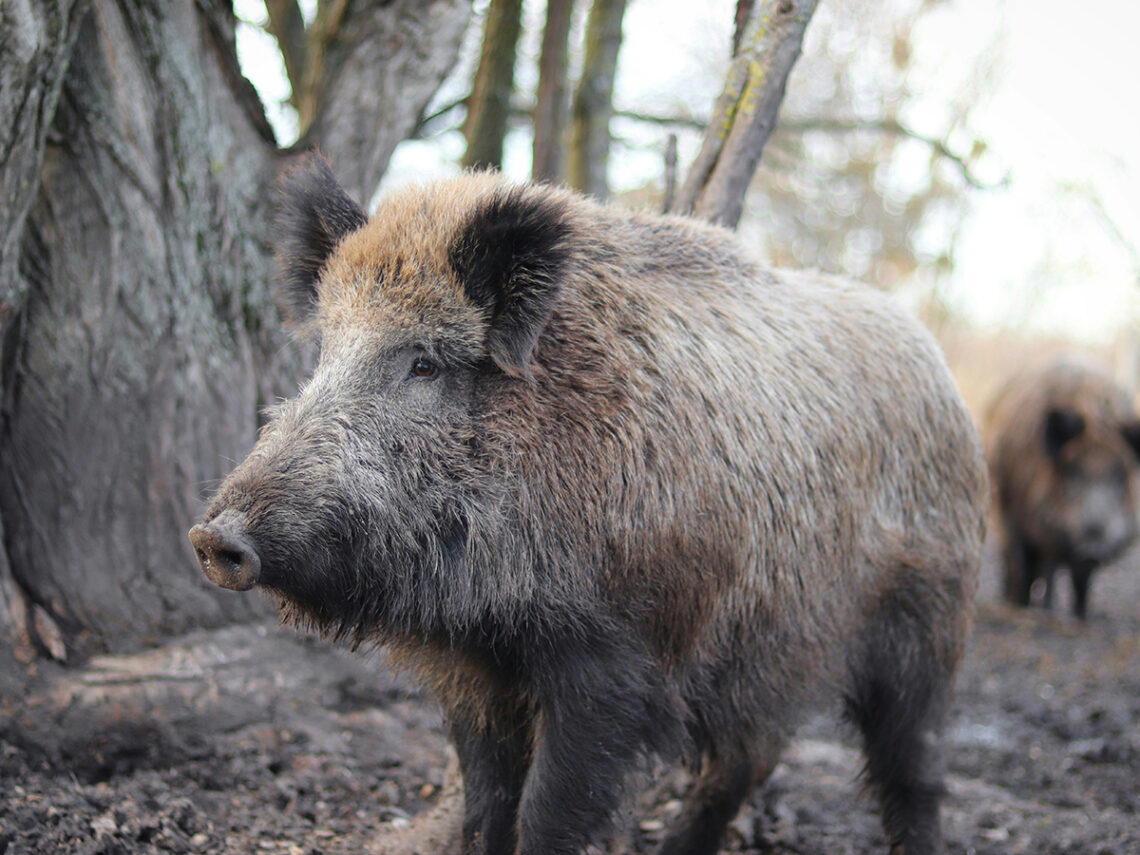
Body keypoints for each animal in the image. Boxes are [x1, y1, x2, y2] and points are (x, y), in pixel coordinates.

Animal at [189, 154, 988, 855]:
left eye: (423, 362)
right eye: (325, 351)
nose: (213, 537)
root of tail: (944, 374)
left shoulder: (614, 659)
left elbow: (548, 812)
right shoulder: (474, 670)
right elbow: (486, 807)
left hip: (928, 624)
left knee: (912, 772)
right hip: (772, 647)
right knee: (746, 758)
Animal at [985, 357, 1140, 619]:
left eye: (1119, 477)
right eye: (1071, 472)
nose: (1092, 550)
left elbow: (1080, 580)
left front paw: (1080, 616)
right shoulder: (1021, 517)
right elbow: (1028, 563)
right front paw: (1028, 606)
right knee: (1017, 560)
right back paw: (1017, 601)